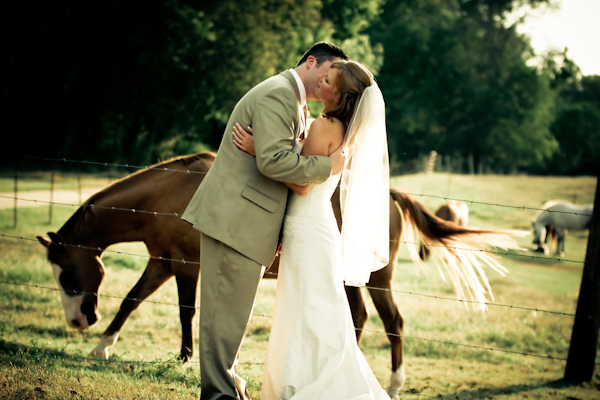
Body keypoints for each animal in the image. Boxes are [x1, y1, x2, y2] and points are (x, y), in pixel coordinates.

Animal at [38, 152, 520, 398]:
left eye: (67, 276)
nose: (78, 321)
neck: (170, 194)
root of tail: (389, 192)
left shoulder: (186, 265)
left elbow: (185, 310)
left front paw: (184, 358)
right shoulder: (162, 261)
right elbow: (133, 299)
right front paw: (103, 347)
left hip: (377, 279)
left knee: (393, 323)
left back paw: (394, 383)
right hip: (347, 281)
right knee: (360, 319)